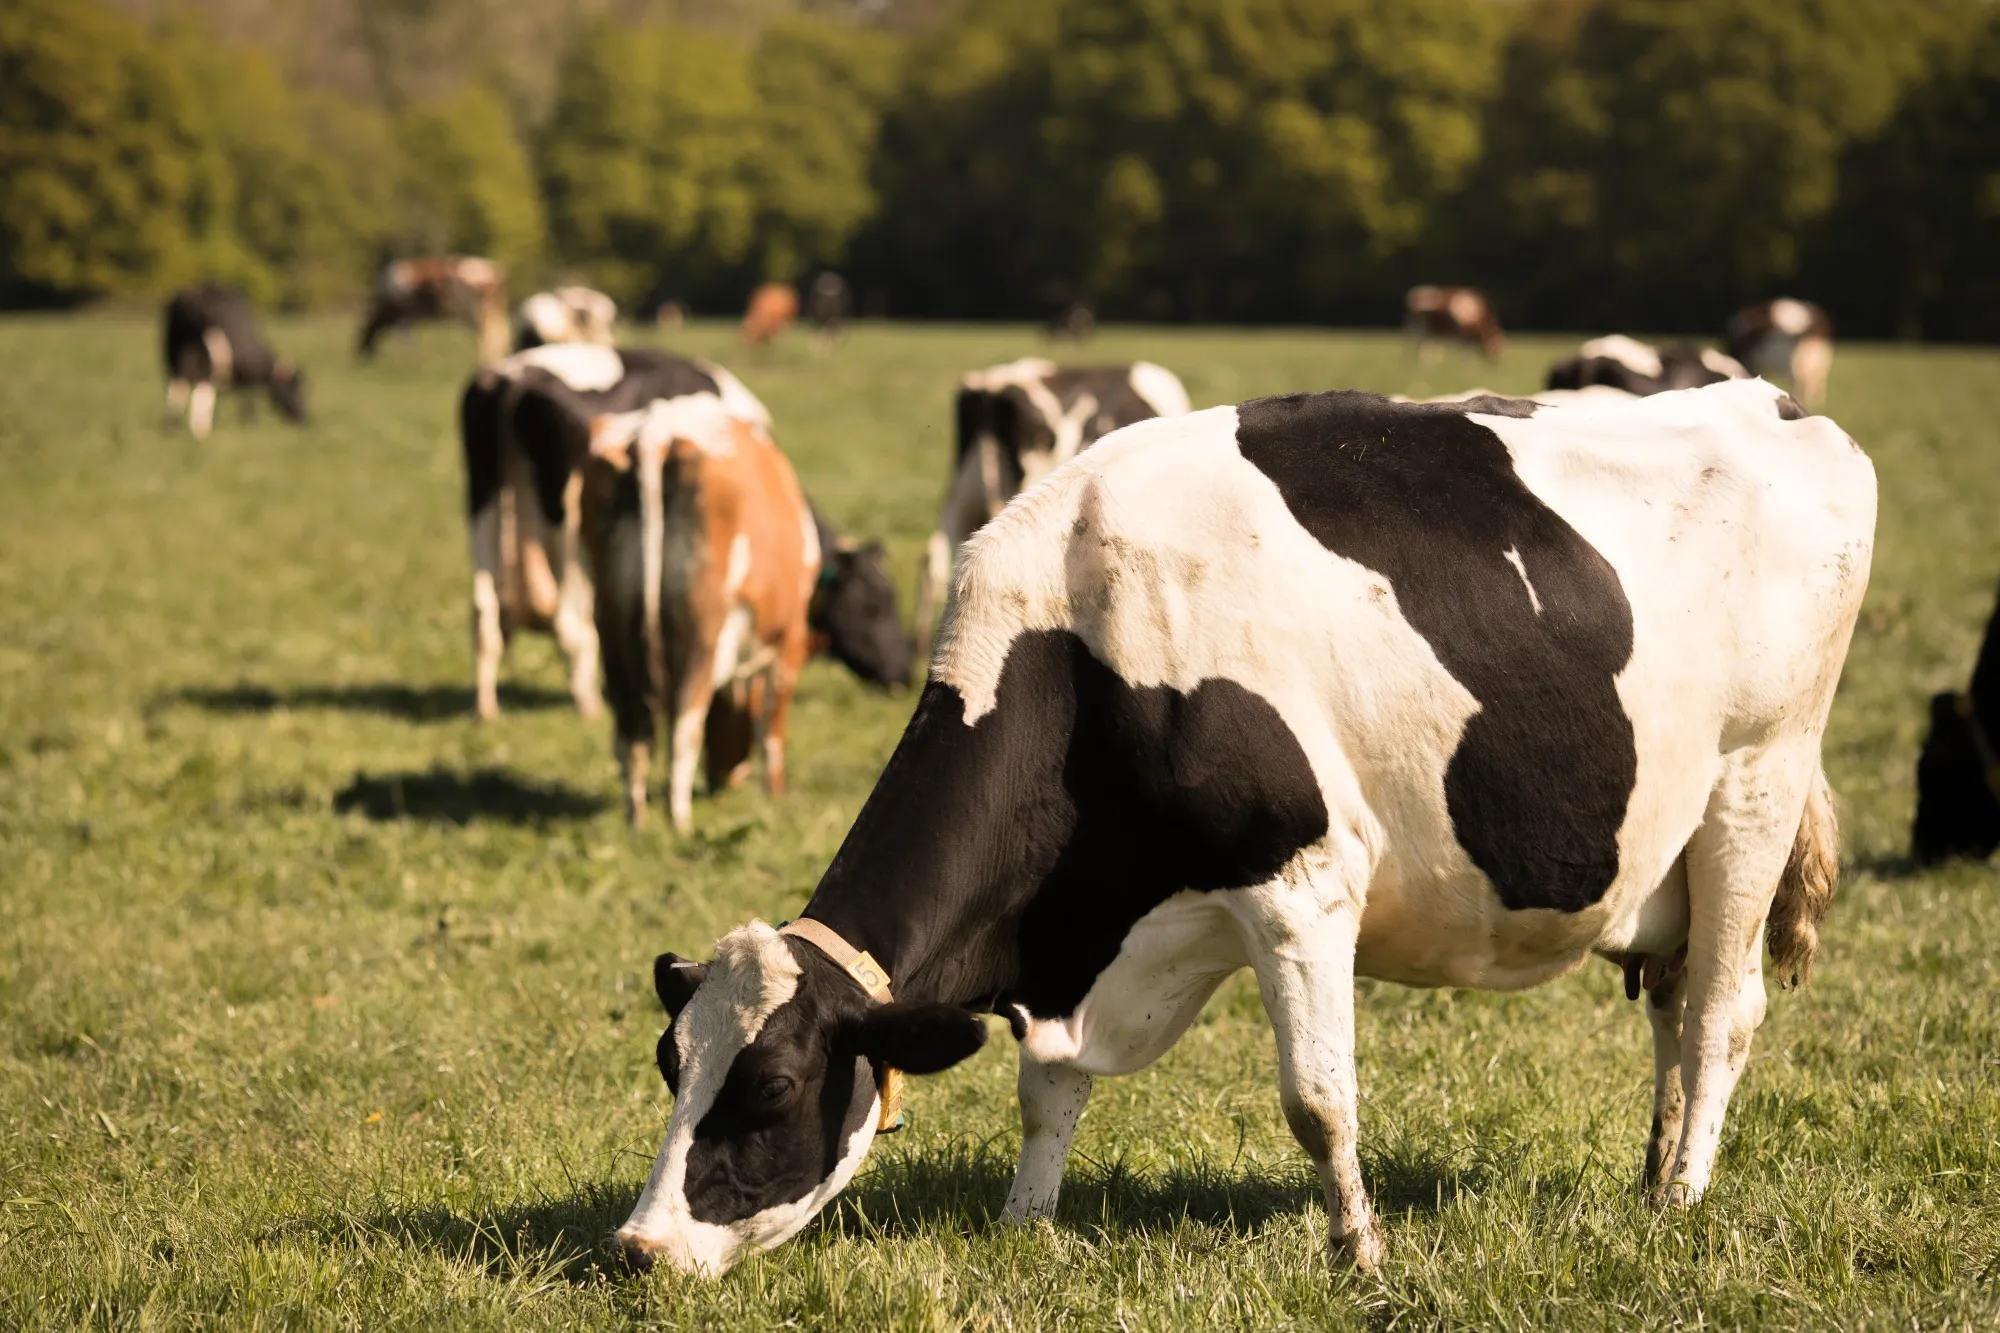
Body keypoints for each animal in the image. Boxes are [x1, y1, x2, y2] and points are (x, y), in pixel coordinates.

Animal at [162, 285, 307, 439]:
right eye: (294, 388)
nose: (305, 417)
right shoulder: (249, 378)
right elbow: (249, 402)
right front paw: (249, 425)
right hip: (208, 354)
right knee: (200, 388)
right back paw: (201, 431)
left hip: (175, 353)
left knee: (179, 387)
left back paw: (173, 428)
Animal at [359, 255, 510, 366]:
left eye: (361, 332)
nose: (361, 353)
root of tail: (494, 270)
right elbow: (409, 339)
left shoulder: (403, 315)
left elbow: (405, 338)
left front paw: (408, 361)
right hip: (490, 310)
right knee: (499, 332)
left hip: (475, 311)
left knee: (489, 333)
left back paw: (485, 361)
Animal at [461, 344, 771, 722]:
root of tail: (518, 376)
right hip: (567, 525)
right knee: (569, 620)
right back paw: (589, 705)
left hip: (483, 498)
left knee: (485, 614)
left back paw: (486, 710)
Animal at [584, 396, 819, 831]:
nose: (723, 781)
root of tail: (657, 430)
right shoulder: (789, 636)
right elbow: (772, 725)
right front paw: (774, 793)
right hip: (702, 627)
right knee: (684, 726)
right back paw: (680, 822)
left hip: (611, 617)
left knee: (631, 732)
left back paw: (637, 821)